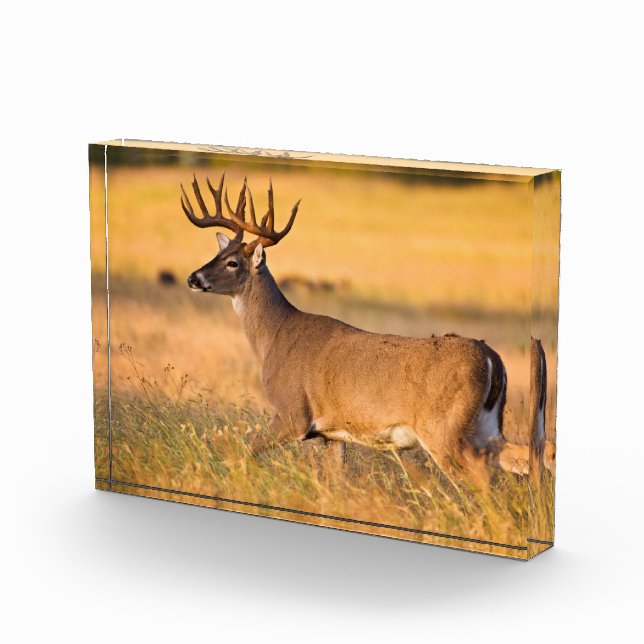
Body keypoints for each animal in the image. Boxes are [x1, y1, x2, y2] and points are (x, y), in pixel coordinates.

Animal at [181, 173, 530, 489]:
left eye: (233, 263)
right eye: (217, 254)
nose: (193, 278)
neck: (276, 336)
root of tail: (492, 357)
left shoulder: (293, 412)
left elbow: (245, 452)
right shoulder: (332, 434)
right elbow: (333, 481)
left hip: (443, 428)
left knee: (480, 479)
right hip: (485, 425)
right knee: (522, 459)